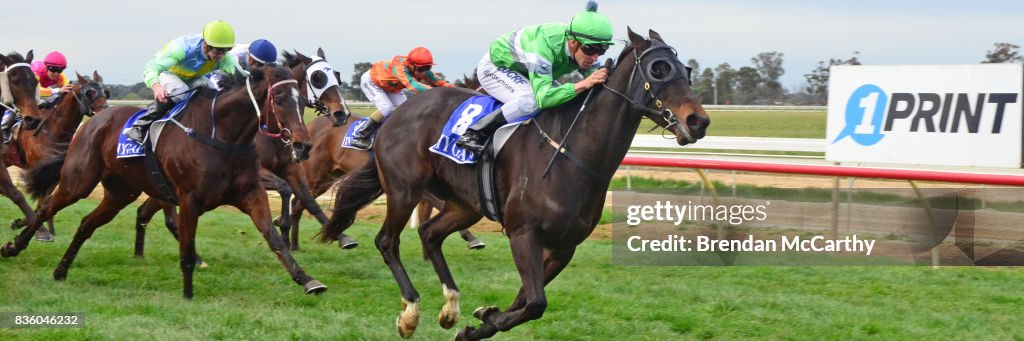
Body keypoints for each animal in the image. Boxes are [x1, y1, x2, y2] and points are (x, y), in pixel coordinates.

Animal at [4, 70, 110, 238]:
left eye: (104, 92)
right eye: (90, 93)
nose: (105, 111)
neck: (54, 130)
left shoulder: (53, 175)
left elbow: (44, 203)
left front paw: (23, 223)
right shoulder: (37, 171)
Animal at [315, 29, 708, 337]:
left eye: (686, 70)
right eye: (659, 69)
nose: (699, 121)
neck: (571, 151)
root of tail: (395, 114)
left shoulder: (564, 247)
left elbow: (525, 298)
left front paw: (482, 320)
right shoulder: (524, 233)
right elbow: (535, 302)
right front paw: (483, 320)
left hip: (465, 205)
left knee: (430, 233)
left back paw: (451, 305)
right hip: (403, 188)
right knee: (387, 241)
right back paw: (410, 312)